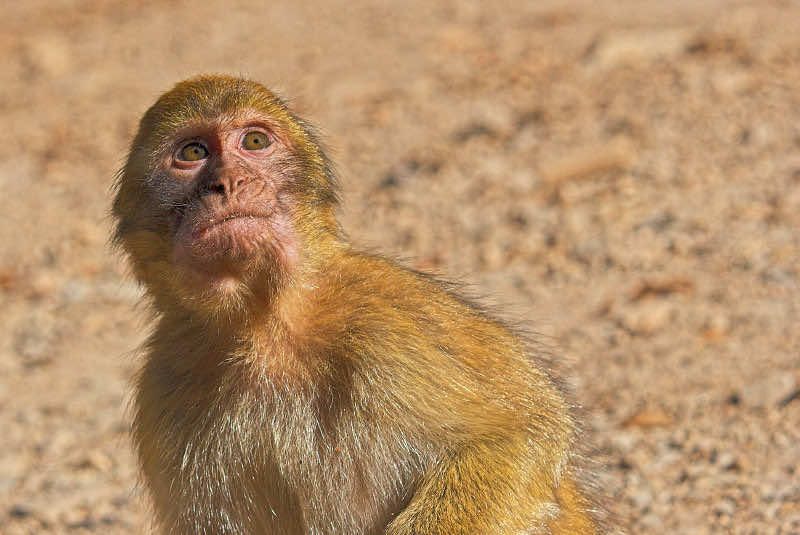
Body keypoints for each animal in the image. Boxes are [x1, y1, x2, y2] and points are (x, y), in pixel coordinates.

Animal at [112, 74, 602, 535]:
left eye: (254, 142)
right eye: (193, 152)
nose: (229, 183)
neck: (263, 326)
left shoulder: (385, 317)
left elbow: (522, 432)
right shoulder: (166, 393)